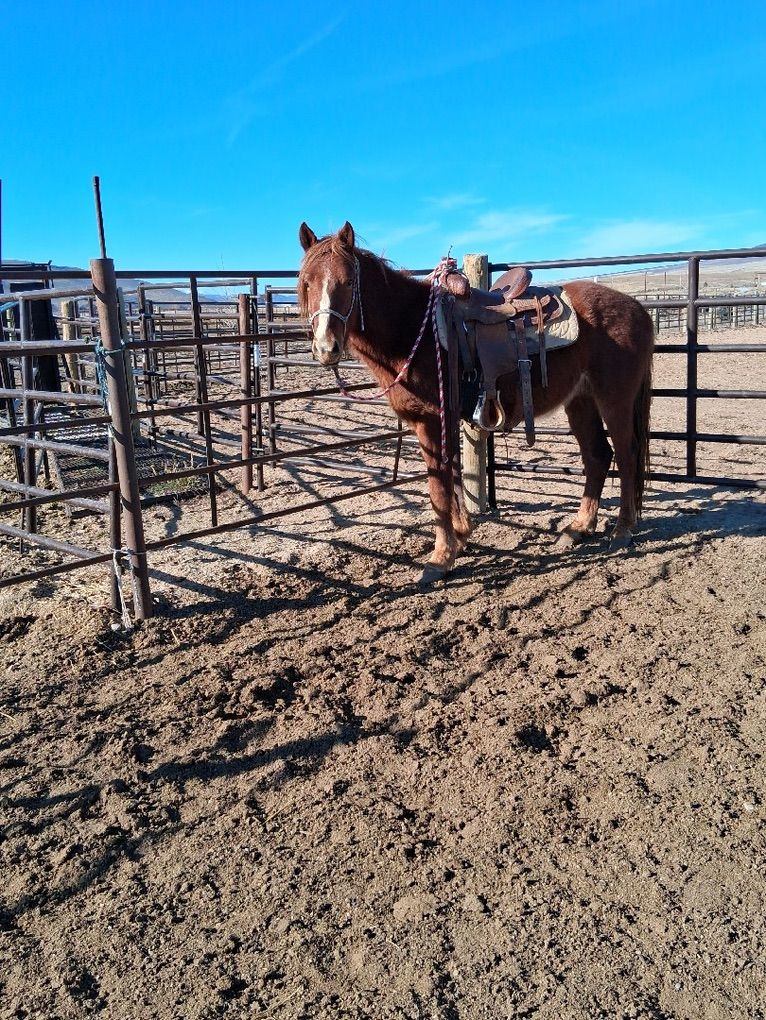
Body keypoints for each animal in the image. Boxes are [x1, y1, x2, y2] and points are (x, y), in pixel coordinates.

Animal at [298, 221, 655, 581]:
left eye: (348, 281)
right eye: (307, 282)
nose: (326, 347)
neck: (413, 330)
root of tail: (637, 308)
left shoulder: (432, 420)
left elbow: (438, 487)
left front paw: (440, 558)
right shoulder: (443, 419)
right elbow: (452, 475)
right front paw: (461, 536)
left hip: (615, 399)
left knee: (626, 455)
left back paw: (622, 530)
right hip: (580, 402)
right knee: (597, 456)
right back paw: (578, 528)